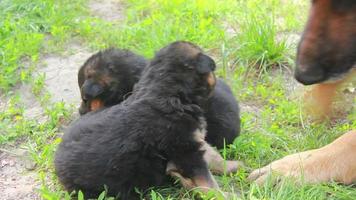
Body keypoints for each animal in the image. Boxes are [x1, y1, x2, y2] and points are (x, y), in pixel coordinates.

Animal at [54, 41, 241, 199]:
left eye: (85, 99)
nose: (80, 112)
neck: (167, 94)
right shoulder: (186, 150)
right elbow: (208, 183)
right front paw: (223, 195)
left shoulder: (192, 141)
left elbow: (213, 156)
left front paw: (231, 166)